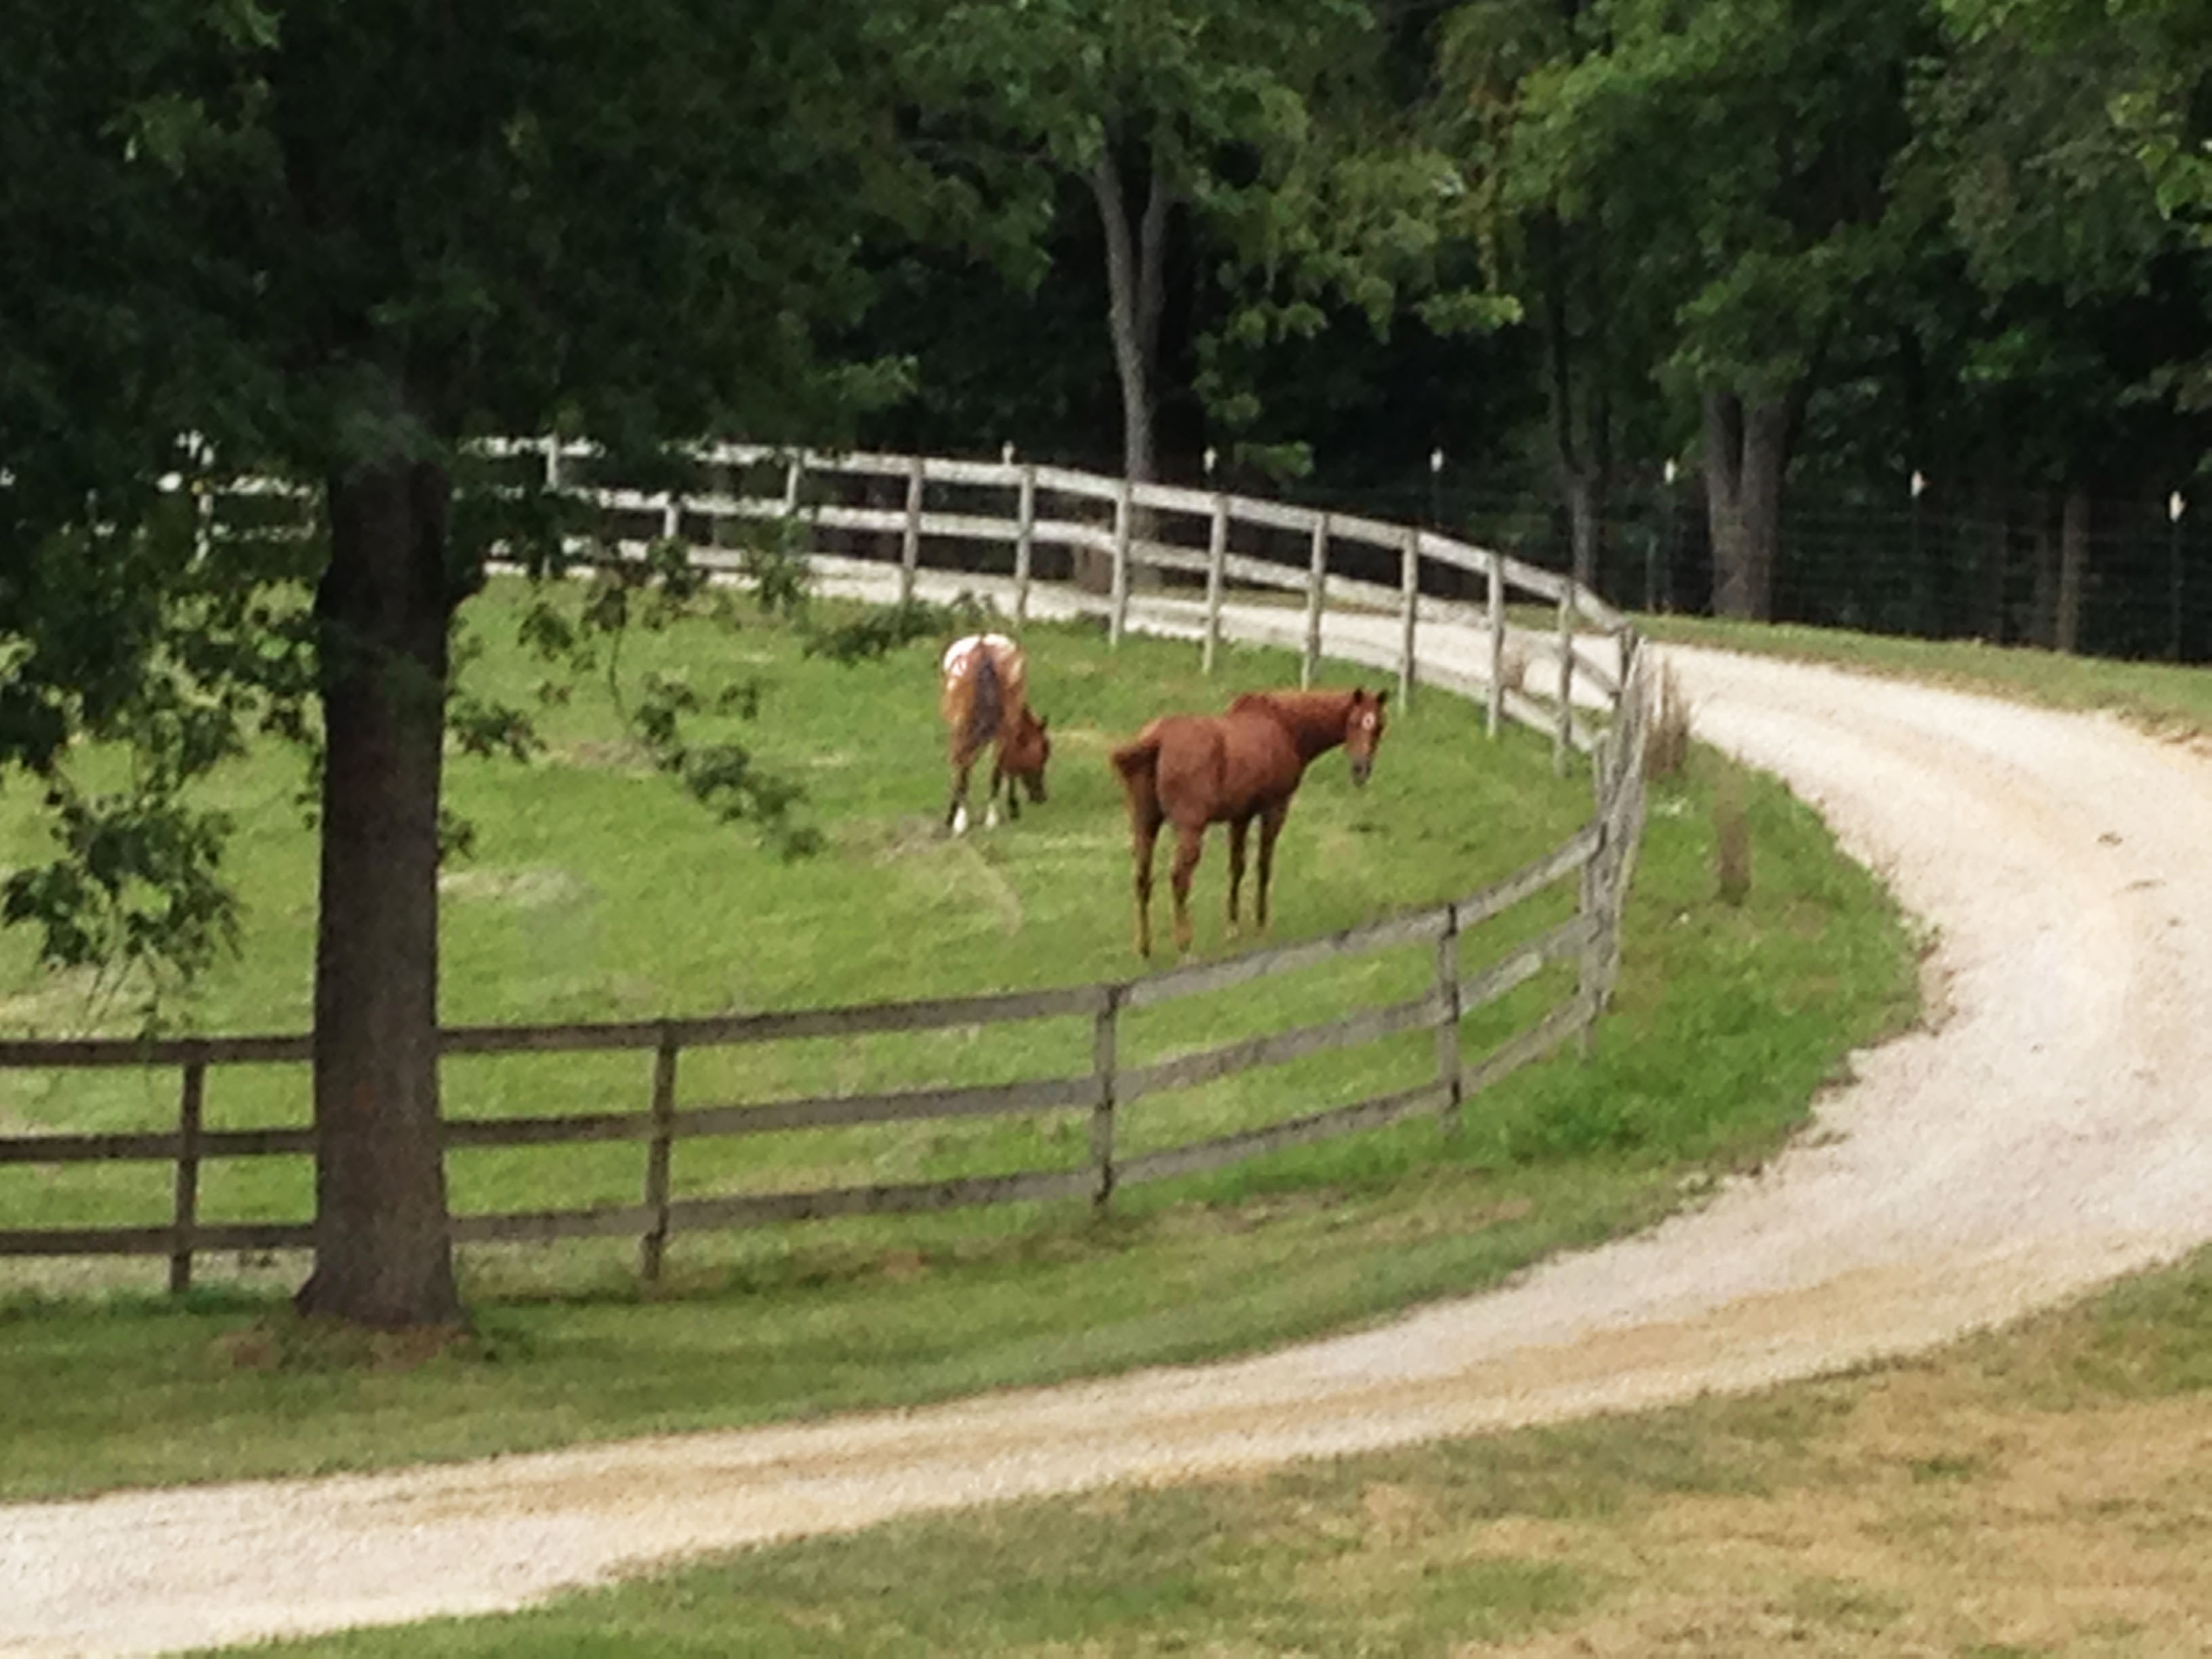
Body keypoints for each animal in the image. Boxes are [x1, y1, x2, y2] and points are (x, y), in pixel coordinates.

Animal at [1115, 681, 1389, 956]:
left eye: (1379, 726)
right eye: (1354, 722)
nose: (1361, 770)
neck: (1284, 725)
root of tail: (1157, 738)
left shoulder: (1240, 817)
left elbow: (1237, 867)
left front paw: (1233, 928)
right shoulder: (1274, 810)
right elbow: (1263, 865)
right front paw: (1261, 923)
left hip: (1145, 825)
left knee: (1141, 877)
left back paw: (1144, 948)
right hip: (1189, 829)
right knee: (1179, 878)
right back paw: (1185, 944)